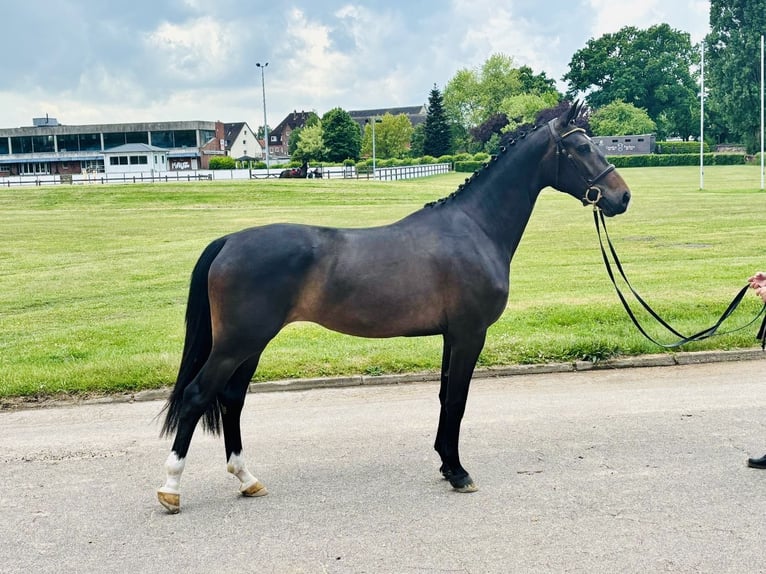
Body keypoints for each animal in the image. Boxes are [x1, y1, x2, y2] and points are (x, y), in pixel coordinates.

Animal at [157, 101, 631, 513]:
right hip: (237, 343)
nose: (621, 197)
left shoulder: (451, 335)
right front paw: (459, 472)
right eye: (582, 147)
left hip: (250, 345)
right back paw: (171, 489)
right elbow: (457, 400)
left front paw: (445, 464)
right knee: (198, 396)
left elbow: (444, 397)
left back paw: (247, 478)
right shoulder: (469, 333)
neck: (475, 227)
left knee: (232, 399)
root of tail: (229, 241)